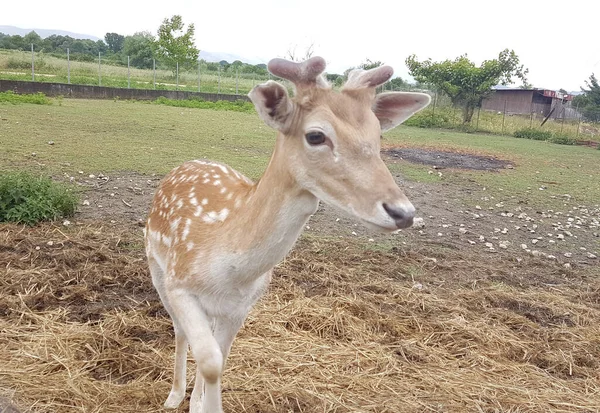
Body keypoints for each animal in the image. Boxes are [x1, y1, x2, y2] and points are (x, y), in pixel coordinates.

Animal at [144, 55, 428, 412]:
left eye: (378, 135)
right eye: (316, 136)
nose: (403, 213)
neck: (228, 268)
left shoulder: (242, 306)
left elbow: (221, 359)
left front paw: (201, 405)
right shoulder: (179, 284)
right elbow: (209, 360)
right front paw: (184, 399)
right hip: (155, 266)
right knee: (179, 330)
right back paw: (174, 395)